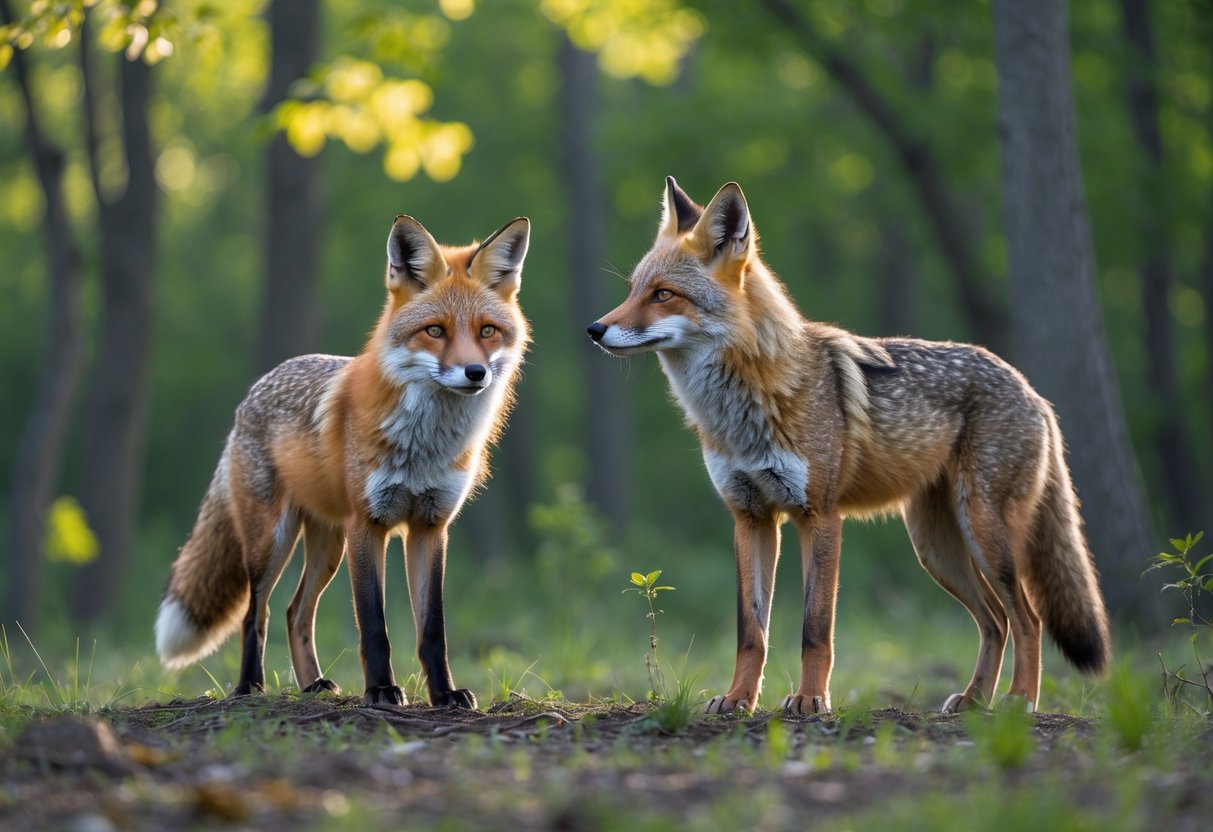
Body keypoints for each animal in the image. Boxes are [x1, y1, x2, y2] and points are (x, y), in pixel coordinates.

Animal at [155, 214, 531, 708]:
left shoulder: (430, 526)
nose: (476, 373)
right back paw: (250, 686)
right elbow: (374, 627)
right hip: (273, 540)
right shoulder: (368, 524)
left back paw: (312, 685)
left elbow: (433, 630)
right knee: (258, 613)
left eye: (487, 331)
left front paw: (444, 694)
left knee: (296, 612)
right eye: (435, 331)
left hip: (328, 546)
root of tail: (254, 391)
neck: (425, 447)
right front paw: (381, 690)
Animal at [587, 177, 1111, 715]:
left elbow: (815, 631)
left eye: (663, 294)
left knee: (1028, 617)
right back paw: (973, 700)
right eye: (633, 290)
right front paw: (737, 700)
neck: (745, 409)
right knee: (996, 620)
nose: (595, 329)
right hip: (936, 549)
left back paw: (1019, 700)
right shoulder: (750, 517)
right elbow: (751, 633)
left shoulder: (820, 516)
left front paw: (811, 699)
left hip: (984, 533)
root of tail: (1032, 390)